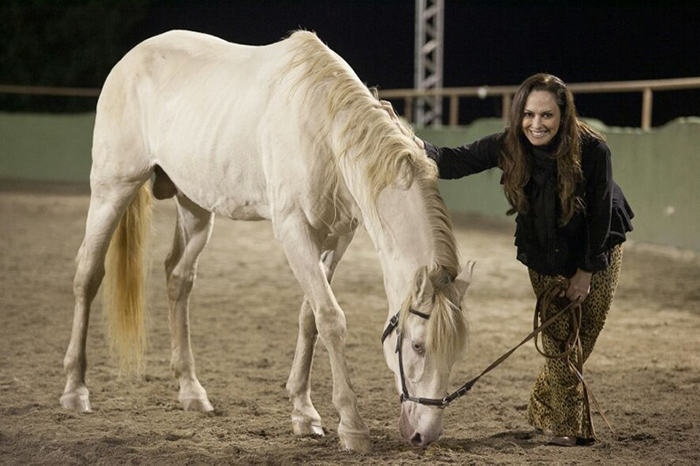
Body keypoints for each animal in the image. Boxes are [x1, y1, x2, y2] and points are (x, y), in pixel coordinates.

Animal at [63, 30, 474, 452]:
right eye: (418, 346)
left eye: (458, 349)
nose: (425, 434)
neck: (324, 131)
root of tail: (130, 59)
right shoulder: (293, 230)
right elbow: (330, 317)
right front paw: (352, 426)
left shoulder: (338, 236)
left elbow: (310, 316)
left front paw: (304, 412)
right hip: (112, 190)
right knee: (88, 275)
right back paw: (76, 390)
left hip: (194, 205)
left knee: (178, 278)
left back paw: (191, 390)